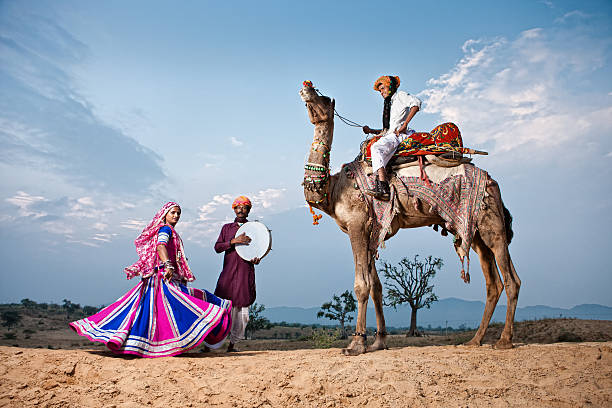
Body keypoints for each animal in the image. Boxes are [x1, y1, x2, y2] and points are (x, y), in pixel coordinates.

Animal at [298, 83, 520, 354]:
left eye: (323, 98)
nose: (306, 87)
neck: (335, 188)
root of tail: (492, 180)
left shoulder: (357, 225)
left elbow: (361, 285)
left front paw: (357, 344)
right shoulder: (373, 230)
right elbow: (377, 287)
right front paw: (379, 341)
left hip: (492, 223)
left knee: (511, 279)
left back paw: (504, 341)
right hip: (474, 229)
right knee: (493, 282)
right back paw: (475, 340)